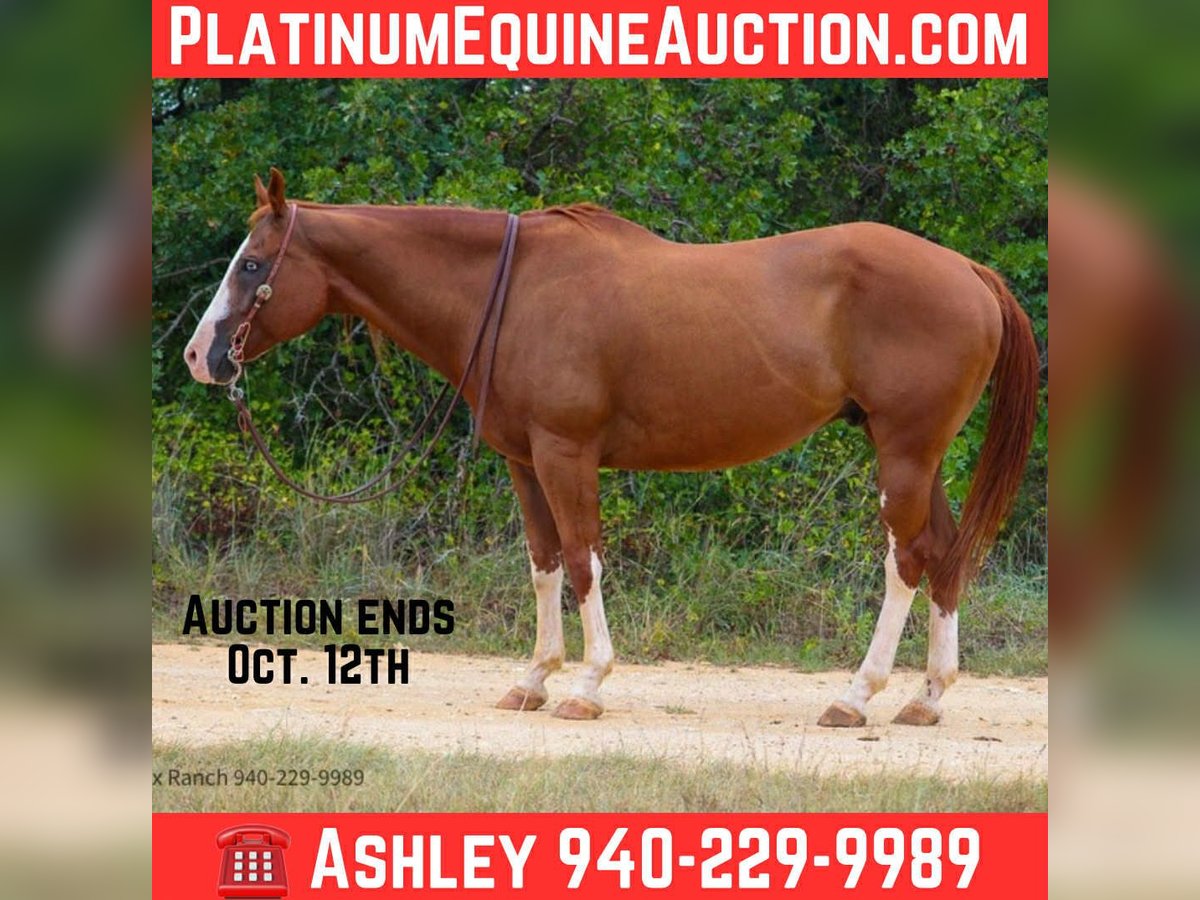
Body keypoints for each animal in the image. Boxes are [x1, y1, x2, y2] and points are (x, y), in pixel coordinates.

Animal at [184, 168, 1039, 726]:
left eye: (252, 264)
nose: (200, 357)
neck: (512, 290)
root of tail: (969, 271)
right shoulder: (524, 461)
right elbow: (544, 562)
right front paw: (533, 679)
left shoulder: (566, 454)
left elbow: (584, 557)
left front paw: (586, 685)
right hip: (919, 458)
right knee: (945, 552)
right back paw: (927, 697)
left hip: (904, 452)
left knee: (906, 562)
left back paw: (856, 695)